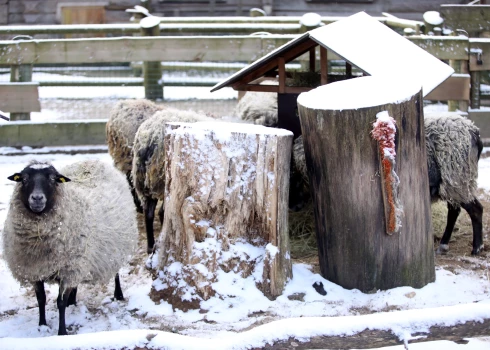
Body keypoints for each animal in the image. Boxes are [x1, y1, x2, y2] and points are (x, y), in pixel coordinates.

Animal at [2, 160, 137, 334]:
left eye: (53, 179)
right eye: (23, 179)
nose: (37, 198)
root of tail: (93, 161)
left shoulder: (68, 270)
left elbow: (60, 302)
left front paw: (62, 332)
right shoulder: (36, 270)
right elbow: (41, 299)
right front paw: (42, 325)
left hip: (114, 247)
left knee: (115, 271)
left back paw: (118, 294)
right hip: (82, 259)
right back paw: (72, 301)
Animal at [131, 108, 215, 253]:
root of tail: (149, 138)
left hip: (147, 182)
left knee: (149, 213)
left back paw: (151, 246)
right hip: (165, 181)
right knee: (162, 212)